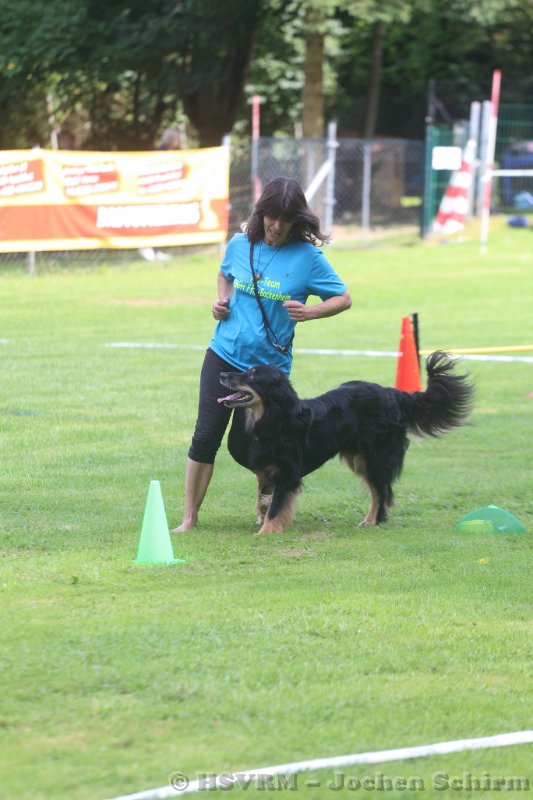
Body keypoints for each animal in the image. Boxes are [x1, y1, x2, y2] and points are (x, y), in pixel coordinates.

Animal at [218, 352, 474, 534]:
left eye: (251, 375)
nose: (222, 375)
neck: (277, 417)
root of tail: (394, 394)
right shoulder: (266, 470)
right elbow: (264, 501)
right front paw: (265, 522)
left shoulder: (287, 471)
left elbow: (275, 504)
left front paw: (267, 530)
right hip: (359, 458)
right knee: (380, 491)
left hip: (375, 458)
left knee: (381, 492)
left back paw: (372, 521)